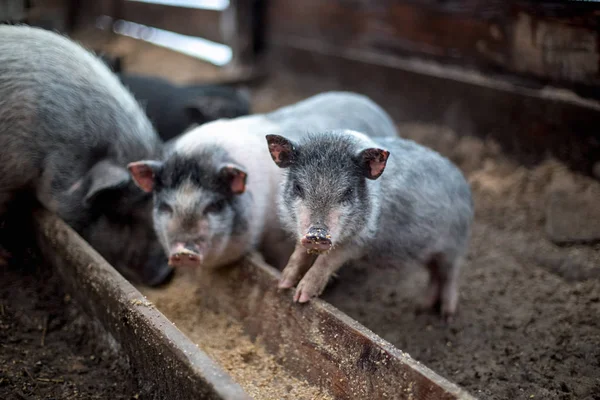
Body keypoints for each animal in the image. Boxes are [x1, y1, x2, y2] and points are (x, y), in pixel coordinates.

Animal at [266, 130, 474, 324]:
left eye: (348, 191)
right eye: (298, 187)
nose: (317, 234)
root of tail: (463, 183)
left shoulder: (359, 242)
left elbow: (327, 261)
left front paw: (301, 298)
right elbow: (299, 253)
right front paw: (283, 284)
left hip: (455, 245)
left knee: (450, 275)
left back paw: (447, 316)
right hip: (429, 252)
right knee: (434, 273)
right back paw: (422, 307)